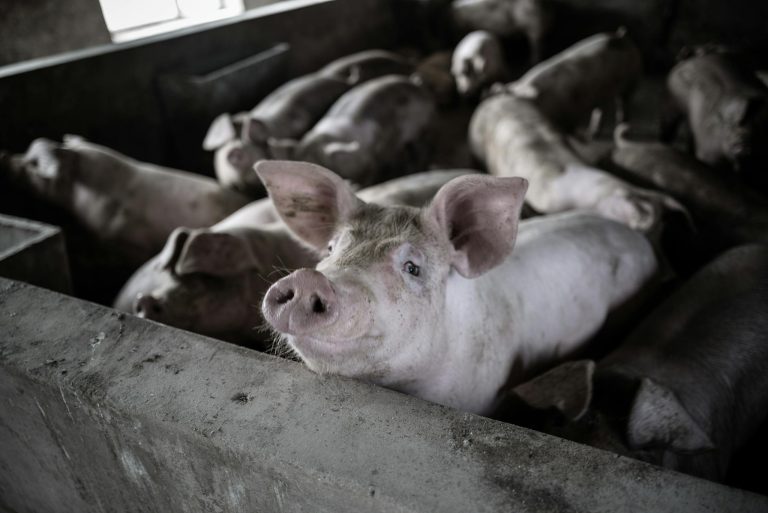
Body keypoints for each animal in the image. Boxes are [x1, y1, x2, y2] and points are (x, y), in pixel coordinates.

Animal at [295, 75, 437, 186]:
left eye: (318, 164)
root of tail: (417, 85)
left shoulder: (372, 162)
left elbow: (368, 178)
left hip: (425, 128)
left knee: (422, 152)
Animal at [509, 28, 643, 135]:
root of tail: (620, 35)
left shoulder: (569, 114)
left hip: (632, 78)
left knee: (623, 104)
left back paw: (623, 128)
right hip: (603, 90)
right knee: (600, 109)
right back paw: (593, 133)